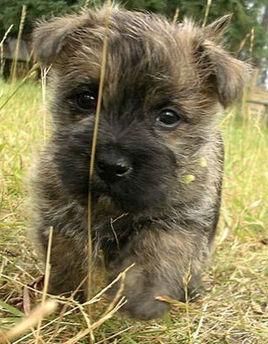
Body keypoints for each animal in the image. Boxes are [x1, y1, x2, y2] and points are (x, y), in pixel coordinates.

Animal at [29, 3, 247, 320]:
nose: (111, 165)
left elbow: (159, 250)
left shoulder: (183, 218)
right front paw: (64, 298)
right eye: (86, 98)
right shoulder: (59, 210)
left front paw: (140, 295)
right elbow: (67, 253)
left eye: (168, 117)